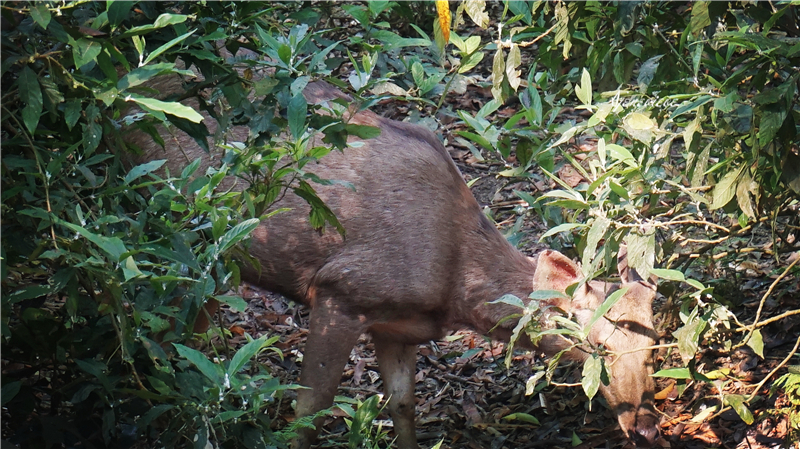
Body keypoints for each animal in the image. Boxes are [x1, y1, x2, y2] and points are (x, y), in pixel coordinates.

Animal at [123, 79, 664, 446]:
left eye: (654, 347)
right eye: (597, 347)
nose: (645, 425)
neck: (451, 288)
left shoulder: (397, 327)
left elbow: (403, 404)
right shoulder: (340, 290)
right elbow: (309, 409)